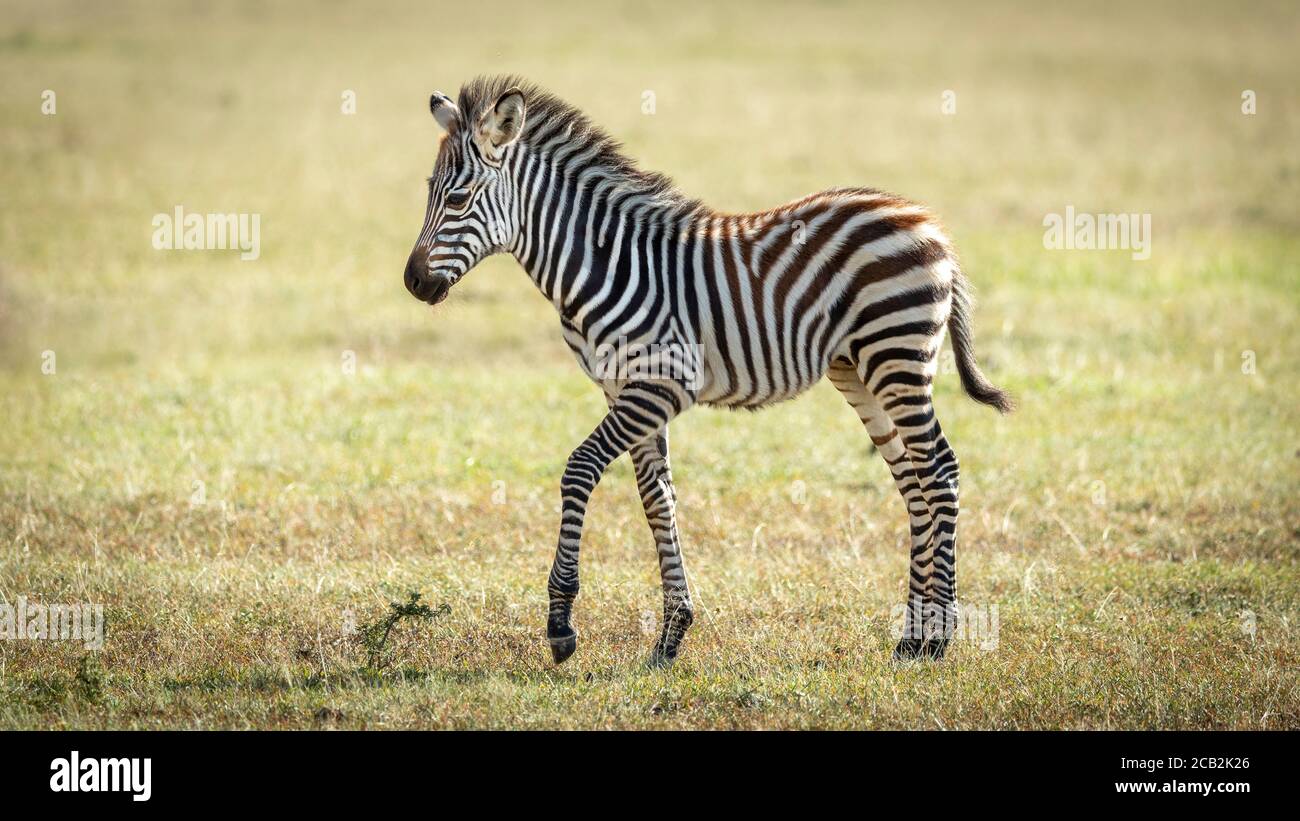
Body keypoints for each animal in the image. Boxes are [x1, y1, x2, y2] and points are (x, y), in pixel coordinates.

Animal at [400, 75, 1008, 665]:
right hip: (858, 368)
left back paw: (939, 639)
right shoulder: (623, 390)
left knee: (940, 471)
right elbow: (657, 500)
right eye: (428, 192)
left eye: (457, 198)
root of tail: (929, 224)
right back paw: (910, 639)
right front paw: (670, 636)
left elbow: (580, 469)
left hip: (897, 353)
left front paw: (561, 625)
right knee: (913, 481)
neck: (605, 264)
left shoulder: (660, 385)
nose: (412, 282)